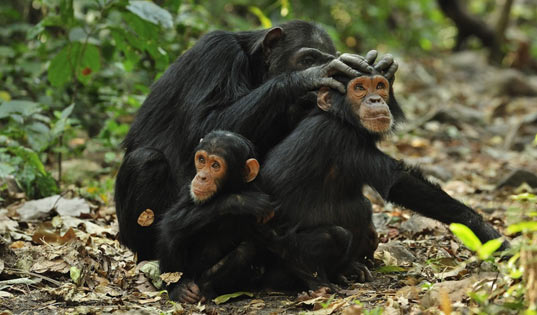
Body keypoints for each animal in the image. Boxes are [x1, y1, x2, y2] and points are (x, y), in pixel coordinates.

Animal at [114, 20, 398, 262]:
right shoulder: (216, 53)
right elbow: (204, 125)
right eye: (307, 60)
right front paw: (309, 77)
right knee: (146, 160)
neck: (254, 67)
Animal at [154, 131, 272, 304]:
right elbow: (173, 220)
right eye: (201, 160)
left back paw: (205, 288)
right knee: (172, 232)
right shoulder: (188, 190)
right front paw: (242, 201)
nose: (201, 176)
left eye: (215, 165)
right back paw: (179, 289)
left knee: (246, 249)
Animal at [262, 74, 504, 288]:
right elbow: (398, 182)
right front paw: (485, 232)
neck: (343, 119)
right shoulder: (343, 138)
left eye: (379, 86)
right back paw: (316, 276)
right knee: (351, 217)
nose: (375, 99)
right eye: (359, 88)